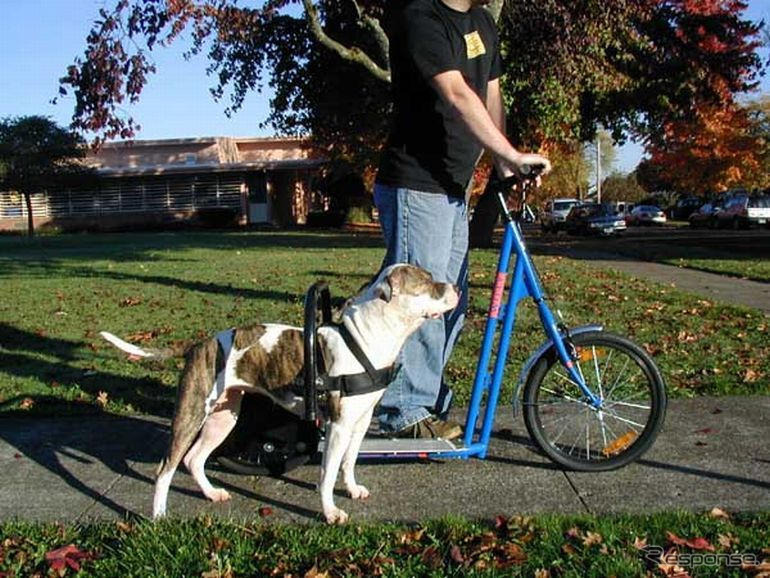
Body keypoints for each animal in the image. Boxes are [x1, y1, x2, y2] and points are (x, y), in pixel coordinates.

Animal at [97, 264, 456, 520]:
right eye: (426, 282)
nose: (454, 287)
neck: (367, 337)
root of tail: (198, 345)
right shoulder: (338, 426)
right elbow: (327, 473)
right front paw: (330, 512)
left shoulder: (360, 422)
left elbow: (349, 462)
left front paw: (352, 489)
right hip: (191, 415)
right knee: (166, 468)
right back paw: (159, 515)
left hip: (224, 417)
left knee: (194, 459)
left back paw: (212, 494)